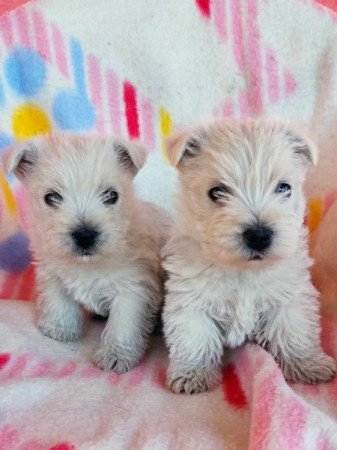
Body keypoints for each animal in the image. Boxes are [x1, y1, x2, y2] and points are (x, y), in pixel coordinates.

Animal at [3, 135, 169, 374]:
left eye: (111, 195)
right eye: (51, 197)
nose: (85, 235)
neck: (88, 263)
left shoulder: (132, 288)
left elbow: (123, 324)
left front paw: (115, 355)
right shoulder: (52, 274)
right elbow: (58, 301)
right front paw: (59, 328)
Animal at [161, 118, 334, 394]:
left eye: (284, 187)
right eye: (216, 191)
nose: (259, 235)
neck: (243, 269)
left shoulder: (289, 296)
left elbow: (293, 330)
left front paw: (308, 363)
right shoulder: (190, 298)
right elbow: (194, 337)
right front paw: (193, 374)